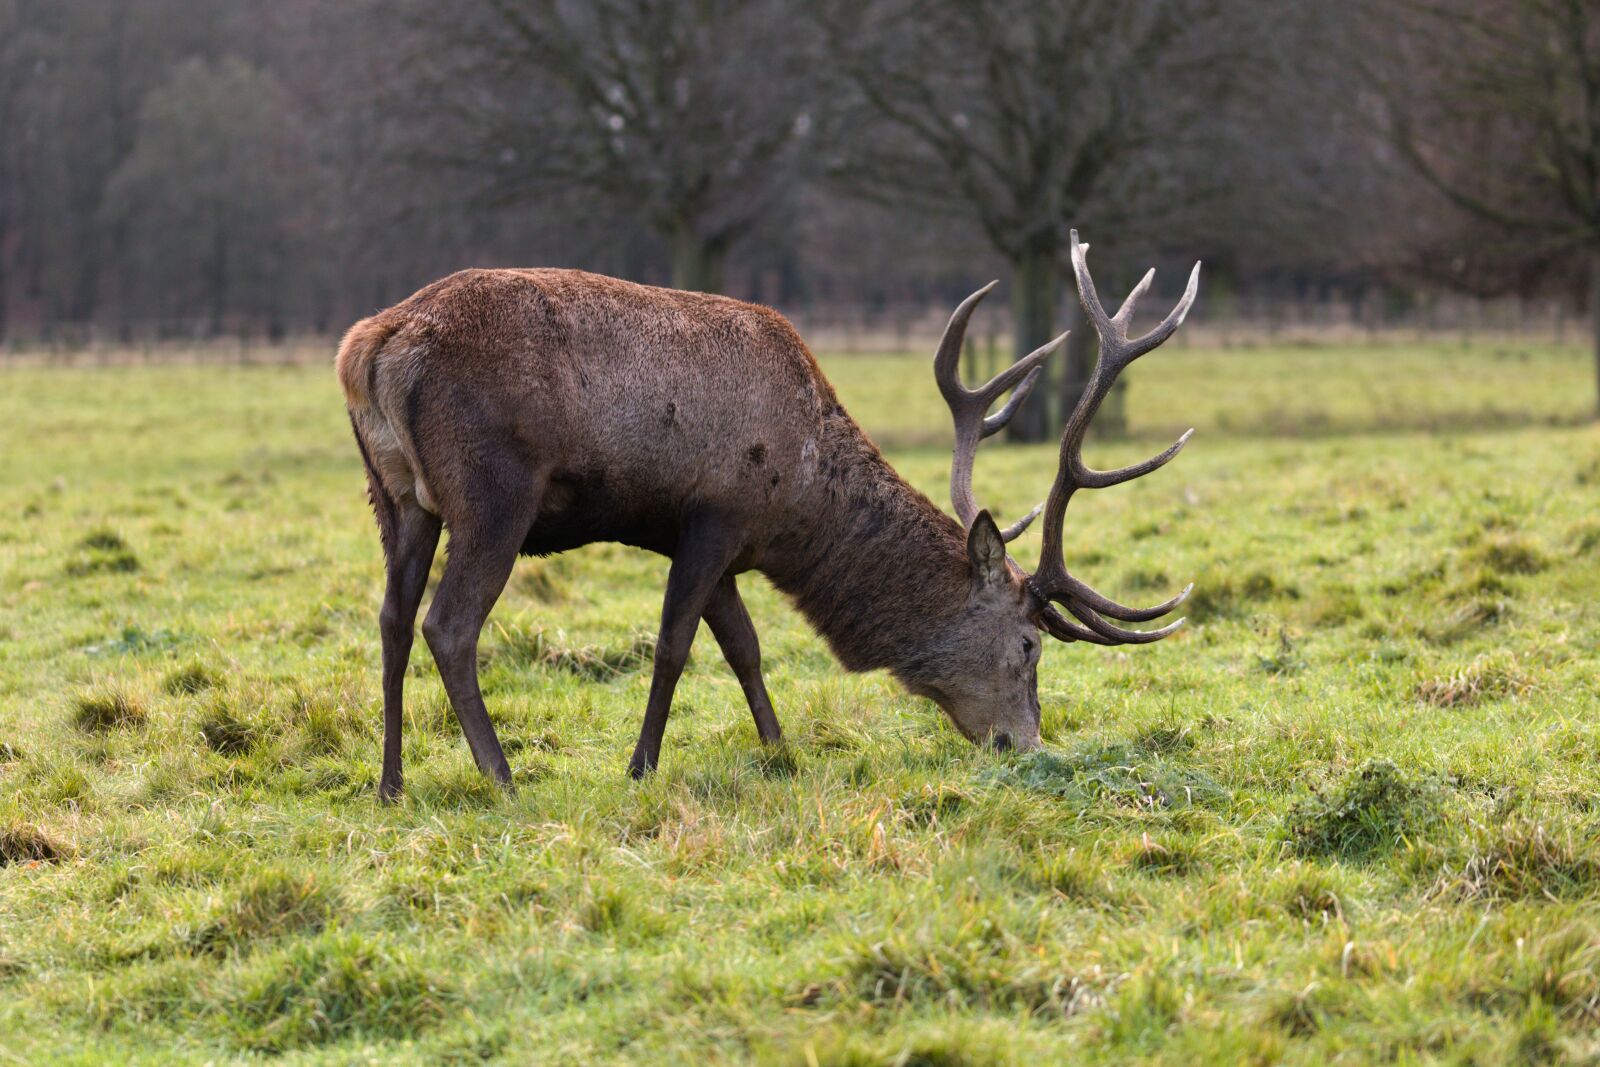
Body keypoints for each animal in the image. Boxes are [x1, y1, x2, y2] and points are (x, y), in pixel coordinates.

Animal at [337, 230, 1199, 800]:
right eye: (1029, 644)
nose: (1024, 743)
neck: (799, 505)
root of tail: (371, 347)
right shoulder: (713, 514)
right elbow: (675, 647)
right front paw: (641, 767)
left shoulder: (724, 543)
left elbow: (745, 649)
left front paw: (782, 750)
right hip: (493, 492)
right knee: (448, 624)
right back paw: (503, 776)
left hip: (396, 496)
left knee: (390, 617)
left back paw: (390, 782)